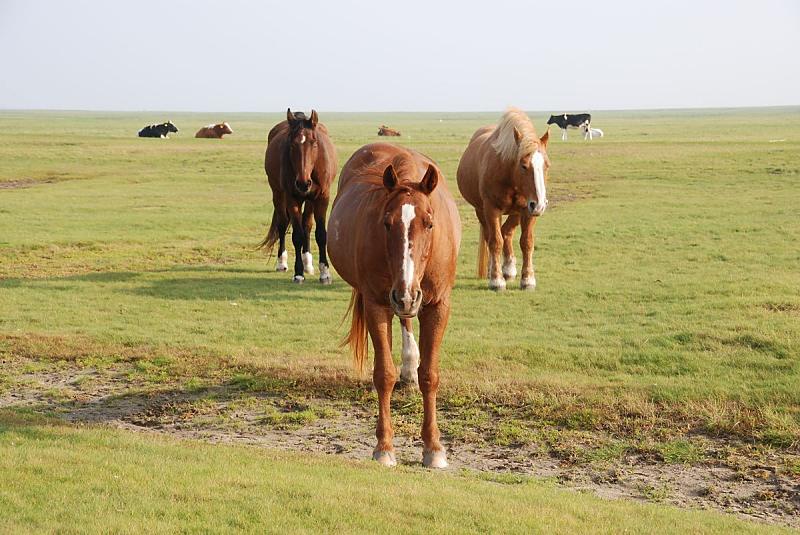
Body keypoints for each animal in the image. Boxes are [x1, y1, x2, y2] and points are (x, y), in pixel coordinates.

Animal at [260, 109, 338, 284]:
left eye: (314, 143)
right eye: (292, 145)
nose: (303, 183)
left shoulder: (322, 197)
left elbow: (321, 234)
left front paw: (325, 273)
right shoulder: (292, 198)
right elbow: (297, 235)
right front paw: (298, 273)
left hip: (310, 200)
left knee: (307, 224)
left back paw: (308, 263)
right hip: (278, 194)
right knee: (282, 224)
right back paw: (282, 262)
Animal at [326, 142, 462, 468]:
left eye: (429, 223)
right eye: (387, 223)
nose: (406, 295)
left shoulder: (437, 305)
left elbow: (430, 374)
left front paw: (434, 447)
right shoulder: (377, 303)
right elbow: (384, 374)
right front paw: (384, 446)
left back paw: (410, 367)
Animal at [456, 108, 552, 292]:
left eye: (546, 165)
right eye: (523, 165)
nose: (540, 205)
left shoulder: (527, 210)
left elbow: (526, 242)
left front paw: (528, 279)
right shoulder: (491, 209)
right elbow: (495, 241)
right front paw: (496, 280)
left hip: (516, 212)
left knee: (507, 232)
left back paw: (508, 269)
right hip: (481, 211)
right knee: (492, 236)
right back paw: (493, 270)